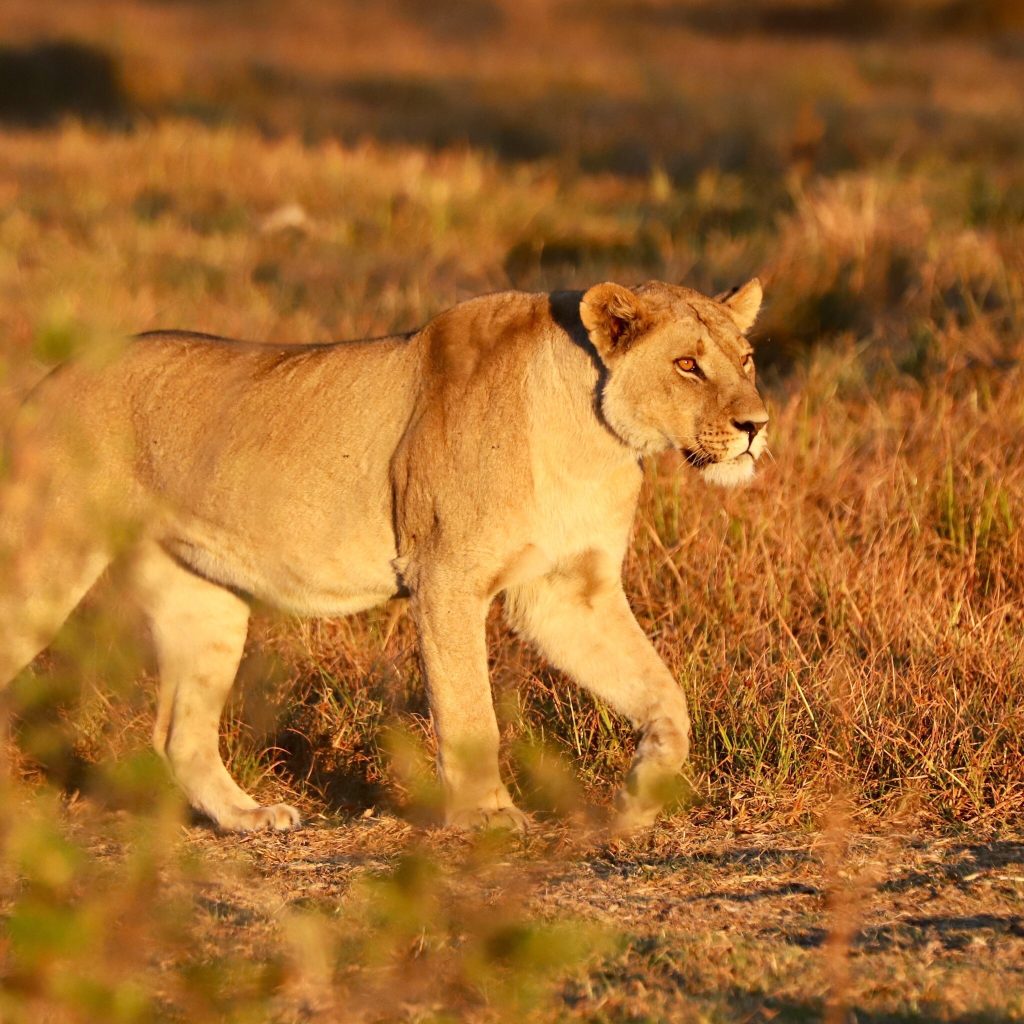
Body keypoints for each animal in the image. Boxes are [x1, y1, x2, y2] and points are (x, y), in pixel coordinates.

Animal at [0, 279, 768, 832]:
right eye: (688, 365)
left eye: (747, 360)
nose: (756, 426)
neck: (595, 443)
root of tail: (47, 381)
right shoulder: (447, 579)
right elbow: (470, 712)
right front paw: (489, 818)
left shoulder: (565, 592)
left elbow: (663, 694)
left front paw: (640, 798)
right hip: (43, 564)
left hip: (203, 599)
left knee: (178, 737)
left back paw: (249, 817)